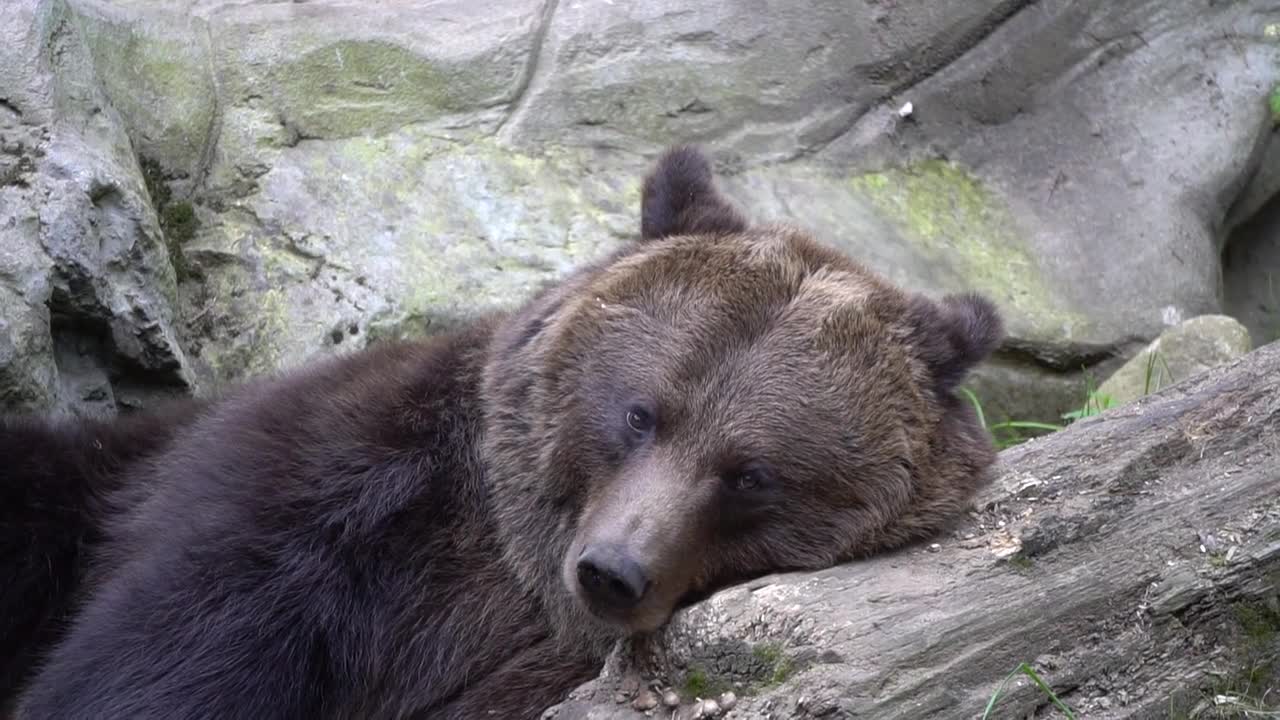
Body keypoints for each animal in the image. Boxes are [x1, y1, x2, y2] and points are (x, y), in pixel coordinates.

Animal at [0, 147, 998, 717]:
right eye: (640, 413)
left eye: (751, 474)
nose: (613, 570)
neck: (514, 569)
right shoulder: (328, 497)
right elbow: (171, 649)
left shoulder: (538, 666)